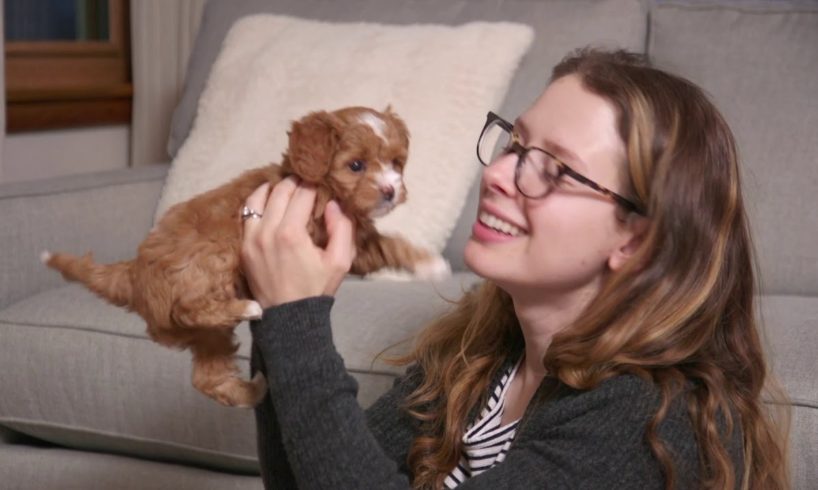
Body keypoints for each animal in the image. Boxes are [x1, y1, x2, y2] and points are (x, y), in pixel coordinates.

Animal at [43, 108, 446, 410]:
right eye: (357, 165)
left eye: (396, 163)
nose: (391, 190)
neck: (315, 183)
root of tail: (132, 274)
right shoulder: (326, 232)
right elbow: (383, 245)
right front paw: (432, 263)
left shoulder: (355, 243)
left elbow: (384, 245)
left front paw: (428, 262)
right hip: (210, 262)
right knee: (187, 308)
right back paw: (247, 308)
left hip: (208, 337)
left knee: (206, 377)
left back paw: (255, 388)